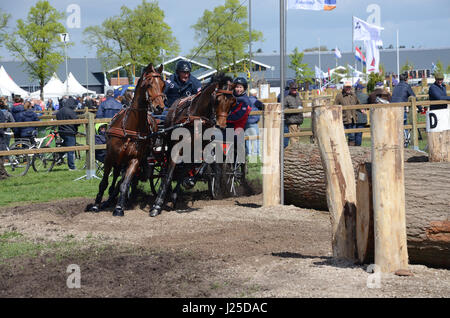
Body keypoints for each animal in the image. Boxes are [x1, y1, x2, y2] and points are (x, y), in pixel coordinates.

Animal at [88, 62, 165, 216]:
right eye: (149, 84)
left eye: (163, 84)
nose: (160, 107)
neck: (130, 127)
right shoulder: (109, 157)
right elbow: (104, 182)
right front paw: (96, 205)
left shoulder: (134, 160)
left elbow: (125, 183)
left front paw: (119, 207)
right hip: (118, 160)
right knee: (115, 177)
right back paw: (108, 199)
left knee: (124, 180)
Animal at [149, 72, 237, 216]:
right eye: (217, 99)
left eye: (232, 102)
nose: (221, 126)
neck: (197, 120)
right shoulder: (177, 148)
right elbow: (169, 175)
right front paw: (157, 205)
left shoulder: (203, 147)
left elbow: (203, 165)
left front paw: (189, 181)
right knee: (168, 170)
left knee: (184, 169)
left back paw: (175, 195)